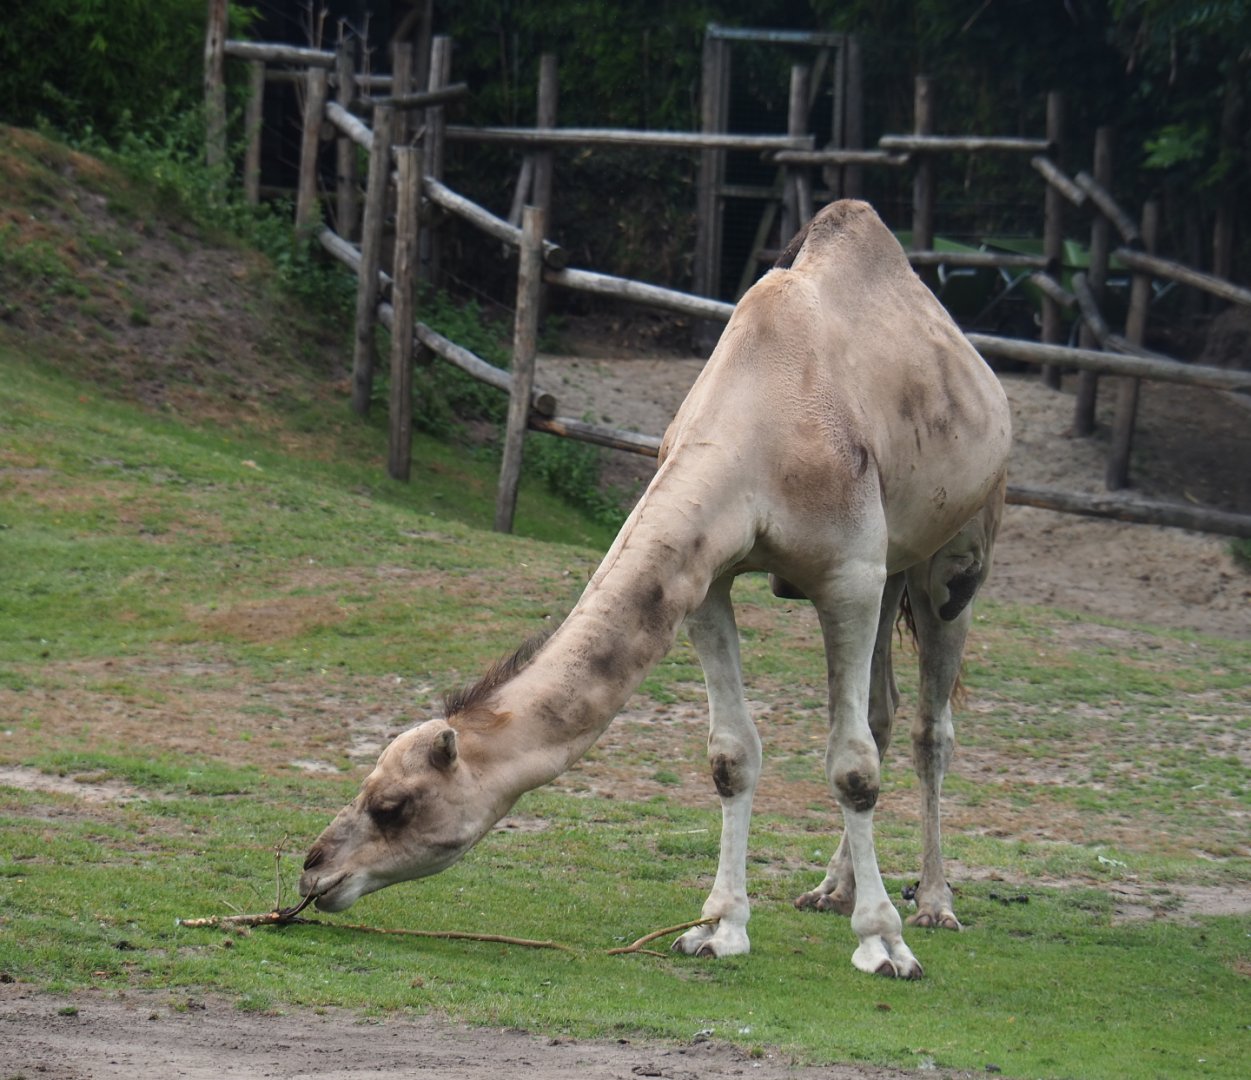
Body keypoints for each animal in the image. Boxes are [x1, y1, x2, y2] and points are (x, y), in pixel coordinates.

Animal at [299, 200, 1012, 978]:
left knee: (927, 725)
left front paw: (884, 942)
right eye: (369, 789)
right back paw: (829, 890)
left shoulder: (847, 574)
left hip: (958, 550)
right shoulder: (708, 579)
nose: (314, 871)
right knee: (881, 711)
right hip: (893, 568)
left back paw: (935, 903)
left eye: (395, 805)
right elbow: (732, 755)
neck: (763, 426)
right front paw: (717, 929)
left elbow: (852, 766)